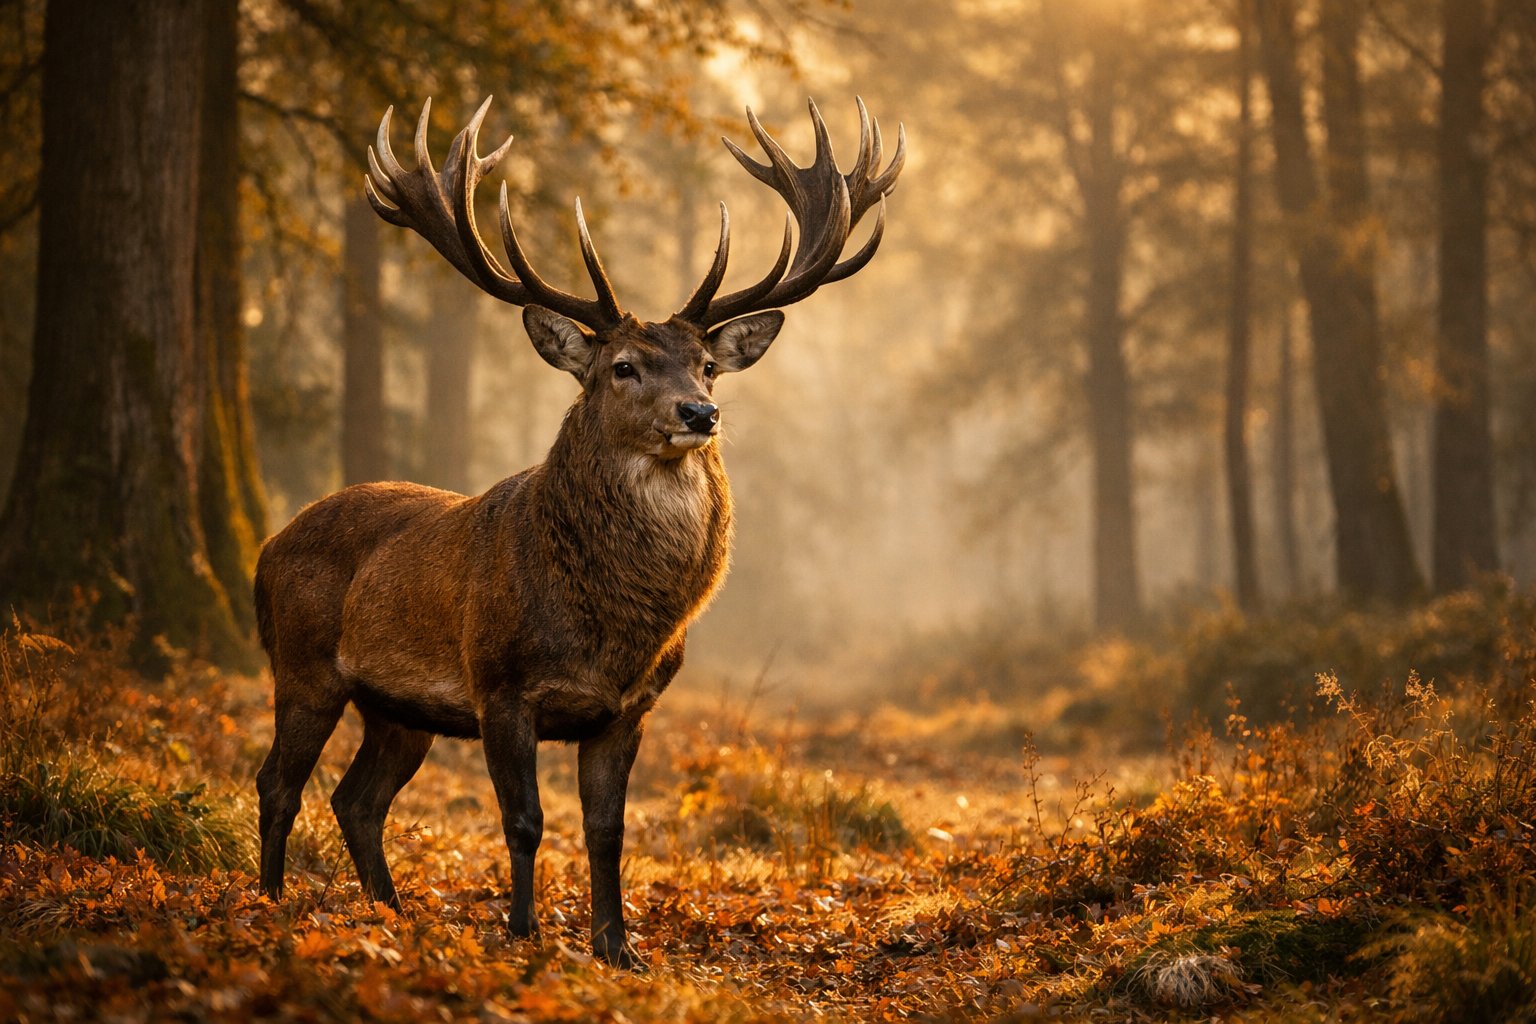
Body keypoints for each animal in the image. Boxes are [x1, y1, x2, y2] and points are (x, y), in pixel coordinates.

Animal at [254, 95, 903, 970]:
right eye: (623, 366)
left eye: (707, 365)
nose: (701, 413)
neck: (609, 626)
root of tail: (268, 546)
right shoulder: (499, 685)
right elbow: (524, 821)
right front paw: (524, 932)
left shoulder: (628, 709)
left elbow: (607, 830)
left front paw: (615, 947)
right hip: (304, 665)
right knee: (278, 783)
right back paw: (270, 902)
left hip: (400, 710)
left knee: (356, 799)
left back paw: (389, 912)